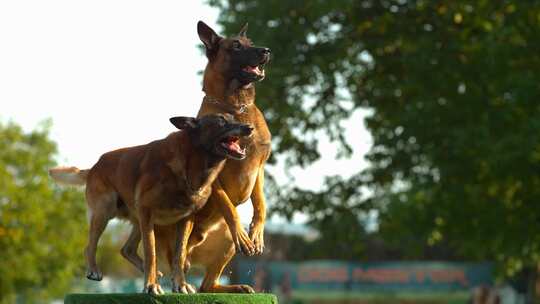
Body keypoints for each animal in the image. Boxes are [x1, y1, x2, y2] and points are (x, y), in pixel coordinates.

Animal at [48, 114, 253, 294]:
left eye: (234, 118)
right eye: (222, 120)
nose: (249, 127)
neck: (190, 165)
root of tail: (94, 166)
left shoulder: (185, 219)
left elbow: (179, 255)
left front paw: (180, 284)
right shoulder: (147, 212)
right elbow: (151, 252)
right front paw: (151, 285)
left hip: (138, 220)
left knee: (127, 249)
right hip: (105, 212)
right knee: (90, 245)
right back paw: (94, 270)